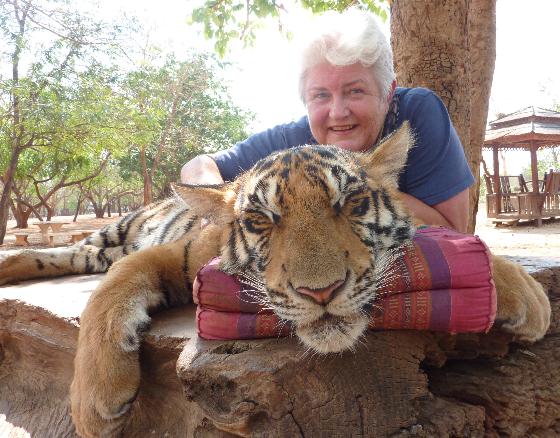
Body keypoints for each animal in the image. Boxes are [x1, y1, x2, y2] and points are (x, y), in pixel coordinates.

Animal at [0, 121, 552, 436]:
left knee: (77, 255)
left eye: (351, 203)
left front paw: (527, 295)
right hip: (117, 227)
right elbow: (114, 286)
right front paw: (93, 404)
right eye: (261, 221)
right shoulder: (170, 254)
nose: (320, 292)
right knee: (79, 253)